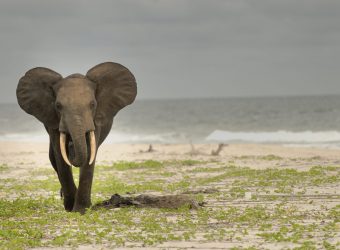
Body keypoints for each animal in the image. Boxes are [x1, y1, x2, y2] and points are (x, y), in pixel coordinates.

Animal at [15, 62, 138, 213]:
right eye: (58, 106)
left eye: (92, 104)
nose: (71, 145)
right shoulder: (53, 121)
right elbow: (60, 156)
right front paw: (70, 207)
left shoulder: (95, 119)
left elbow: (89, 153)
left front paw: (81, 209)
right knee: (52, 157)